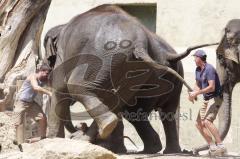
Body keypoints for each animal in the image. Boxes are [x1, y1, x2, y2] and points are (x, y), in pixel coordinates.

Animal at [43, 4, 218, 154]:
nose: (80, 126)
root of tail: (140, 43)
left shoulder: (63, 55)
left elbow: (59, 89)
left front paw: (53, 140)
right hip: (134, 70)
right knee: (153, 111)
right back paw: (162, 150)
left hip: (106, 58)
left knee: (76, 85)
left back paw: (100, 131)